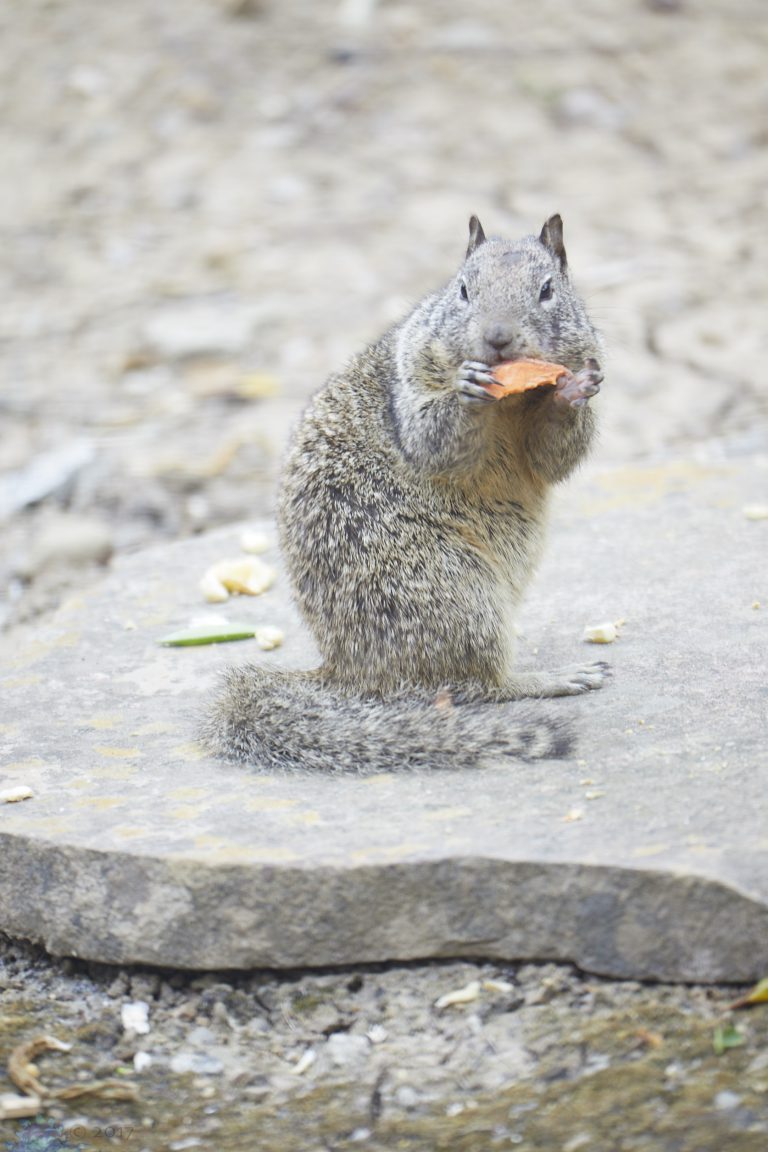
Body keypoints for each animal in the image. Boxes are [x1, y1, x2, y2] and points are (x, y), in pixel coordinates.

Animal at [203, 214, 609, 772]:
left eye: (548, 290)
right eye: (463, 289)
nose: (497, 339)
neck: (512, 402)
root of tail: (348, 673)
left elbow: (552, 456)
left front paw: (571, 391)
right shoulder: (411, 382)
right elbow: (431, 440)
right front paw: (467, 389)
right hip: (456, 595)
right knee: (480, 687)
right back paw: (550, 678)